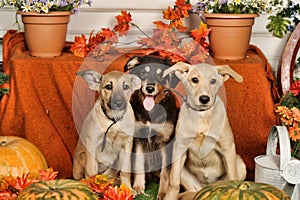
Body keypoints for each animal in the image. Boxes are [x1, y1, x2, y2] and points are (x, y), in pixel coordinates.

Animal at [123, 55, 178, 199]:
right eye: (143, 73)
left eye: (160, 76)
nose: (150, 89)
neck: (150, 112)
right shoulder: (138, 140)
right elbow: (138, 164)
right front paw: (138, 187)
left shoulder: (165, 141)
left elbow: (165, 172)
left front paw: (163, 193)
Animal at [164, 62, 246, 198]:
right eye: (194, 80)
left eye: (213, 81)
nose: (204, 99)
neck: (202, 115)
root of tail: (204, 188)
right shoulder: (179, 147)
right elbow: (173, 182)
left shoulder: (227, 147)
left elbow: (232, 177)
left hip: (239, 162)